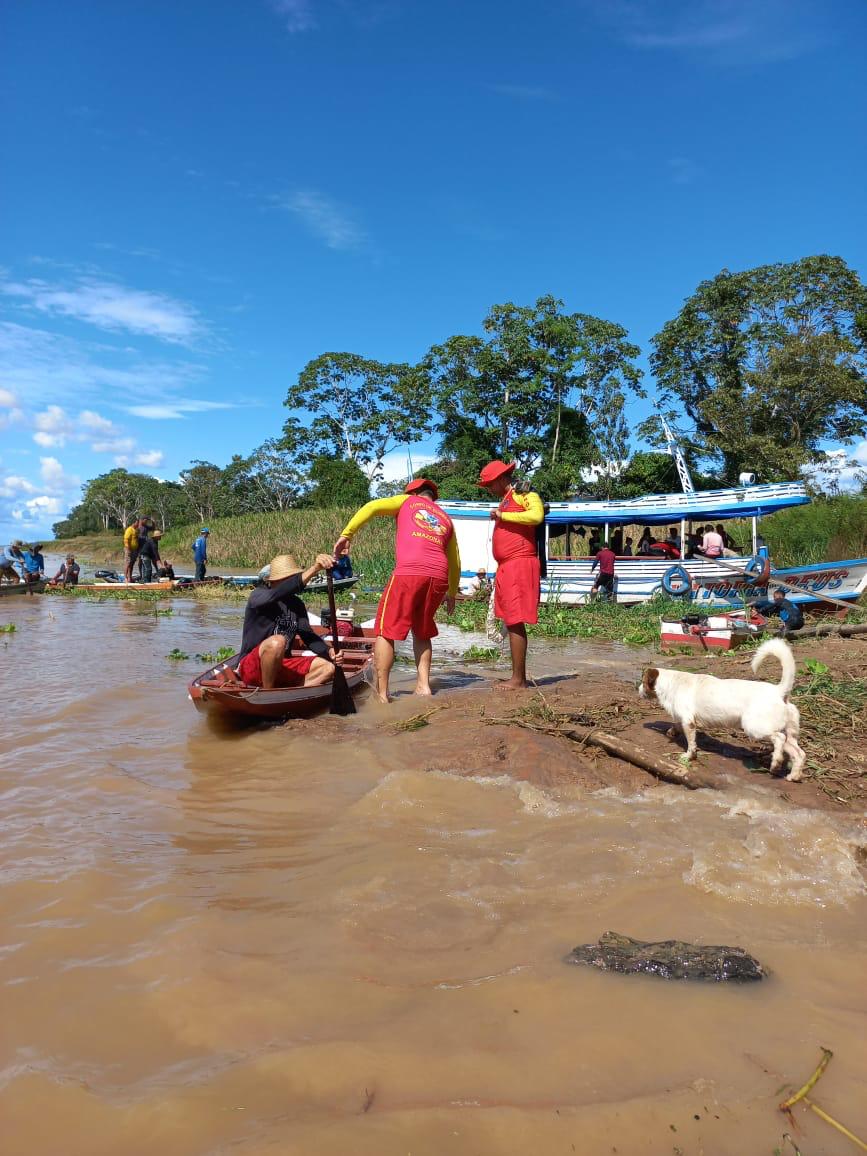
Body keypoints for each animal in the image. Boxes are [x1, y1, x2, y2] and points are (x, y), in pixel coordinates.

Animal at [638, 638, 809, 781]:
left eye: (642, 682)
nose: (637, 689)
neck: (673, 683)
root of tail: (779, 691)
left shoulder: (689, 722)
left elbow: (691, 743)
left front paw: (688, 756)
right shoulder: (684, 720)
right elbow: (676, 725)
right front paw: (672, 732)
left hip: (754, 728)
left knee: (779, 738)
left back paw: (775, 763)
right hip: (789, 735)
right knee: (799, 753)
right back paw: (793, 776)